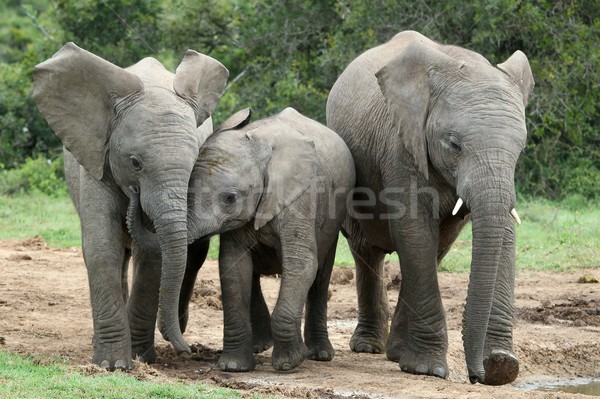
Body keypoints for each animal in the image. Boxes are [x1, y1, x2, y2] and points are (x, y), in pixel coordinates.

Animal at [33, 42, 230, 370]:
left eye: (195, 163)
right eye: (135, 163)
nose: (187, 351)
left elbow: (153, 256)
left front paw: (140, 359)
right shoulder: (97, 161)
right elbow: (102, 247)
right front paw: (112, 365)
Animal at [188, 107, 356, 372]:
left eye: (230, 198)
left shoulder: (301, 196)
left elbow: (301, 265)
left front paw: (289, 363)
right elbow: (234, 267)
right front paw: (233, 366)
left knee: (320, 276)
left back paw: (318, 354)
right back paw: (261, 346)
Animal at [328, 29, 536, 386]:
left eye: (520, 148)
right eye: (453, 144)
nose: (477, 375)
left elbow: (503, 232)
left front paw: (503, 365)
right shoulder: (400, 145)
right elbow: (413, 230)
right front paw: (428, 370)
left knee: (435, 248)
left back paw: (396, 351)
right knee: (367, 248)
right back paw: (369, 346)